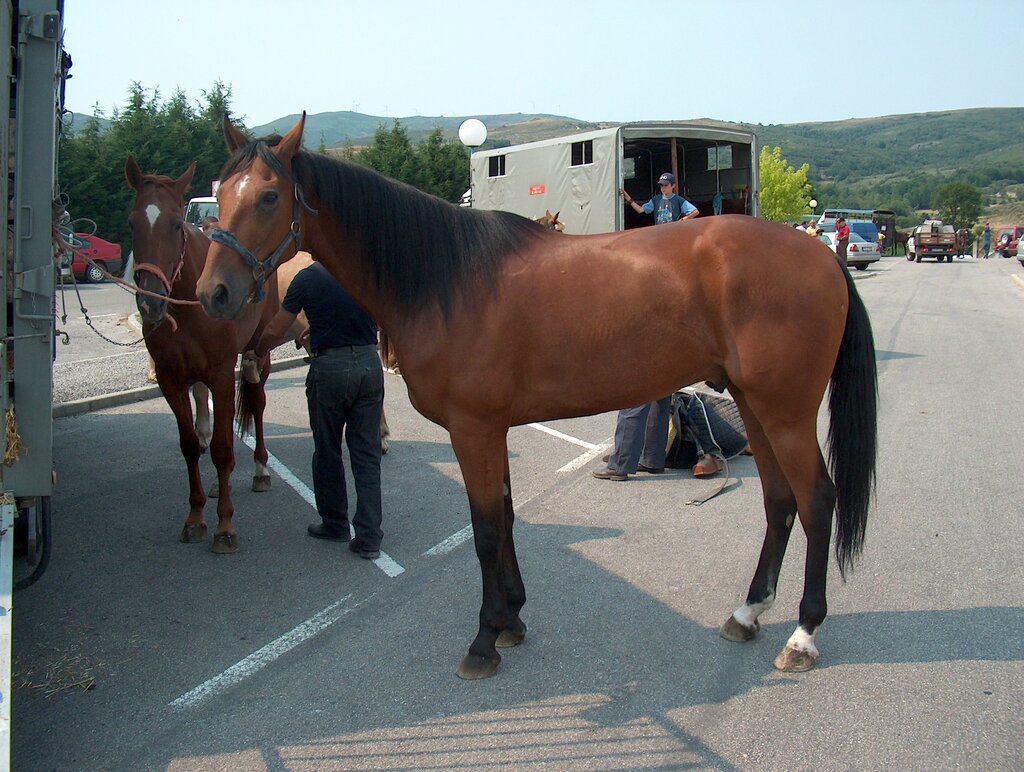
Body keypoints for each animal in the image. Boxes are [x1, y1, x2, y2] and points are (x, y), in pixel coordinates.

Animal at [123, 156, 299, 548]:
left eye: (176, 224)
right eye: (132, 222)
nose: (150, 302)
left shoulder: (221, 373)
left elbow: (221, 448)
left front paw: (224, 525)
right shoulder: (170, 380)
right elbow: (191, 444)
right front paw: (196, 516)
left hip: (258, 354)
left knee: (257, 404)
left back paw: (260, 470)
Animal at [197, 114, 880, 671]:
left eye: (268, 195)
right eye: (216, 201)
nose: (213, 295)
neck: (446, 278)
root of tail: (821, 255)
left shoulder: (473, 429)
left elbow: (484, 530)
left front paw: (482, 641)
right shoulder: (490, 429)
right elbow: (504, 517)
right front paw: (511, 621)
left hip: (785, 412)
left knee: (817, 500)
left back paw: (803, 635)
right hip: (755, 405)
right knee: (779, 500)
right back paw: (748, 613)